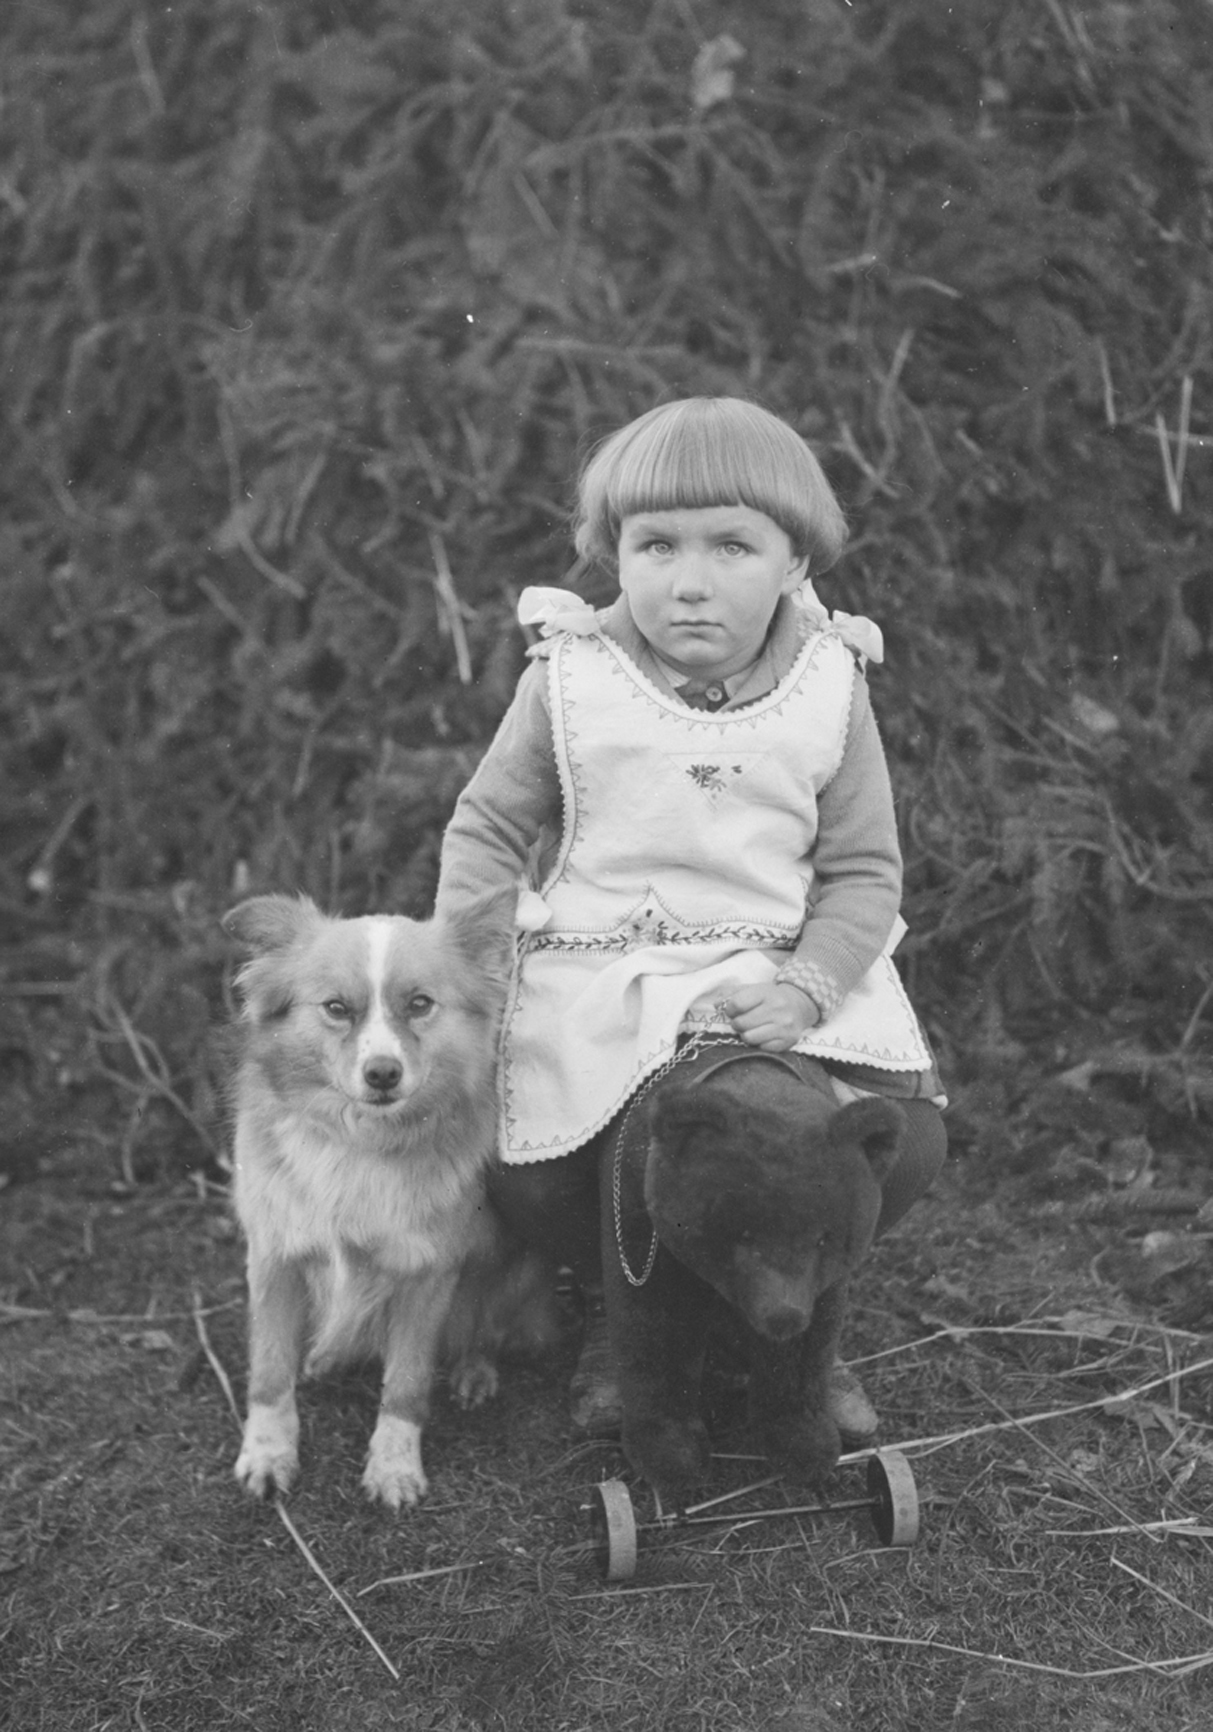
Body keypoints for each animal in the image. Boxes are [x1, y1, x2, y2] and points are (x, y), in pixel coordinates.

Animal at [223, 893, 554, 1503]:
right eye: (336, 1008)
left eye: (420, 1004)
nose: (382, 1073)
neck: (361, 1142)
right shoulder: (274, 1255)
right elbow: (269, 1371)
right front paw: (268, 1454)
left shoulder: (428, 1272)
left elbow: (407, 1381)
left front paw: (395, 1467)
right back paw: (326, 1355)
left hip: (514, 1263)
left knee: (487, 1326)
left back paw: (475, 1371)